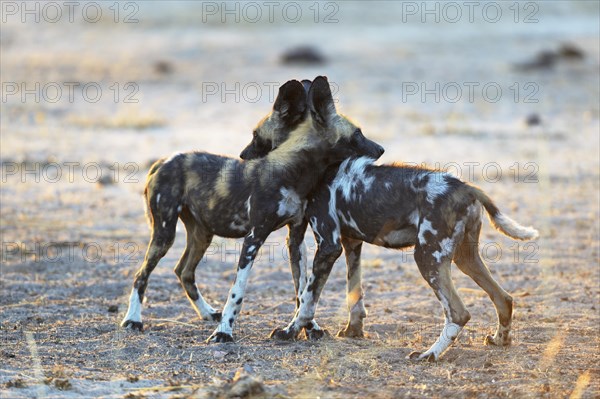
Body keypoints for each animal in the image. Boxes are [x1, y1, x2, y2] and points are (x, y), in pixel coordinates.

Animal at [120, 77, 384, 344]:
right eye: (357, 134)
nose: (381, 149)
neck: (294, 173)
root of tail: (162, 160)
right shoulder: (254, 237)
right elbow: (237, 292)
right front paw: (224, 332)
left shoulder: (295, 239)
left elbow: (303, 291)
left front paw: (307, 328)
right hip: (165, 234)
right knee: (141, 275)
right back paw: (133, 320)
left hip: (202, 234)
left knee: (183, 271)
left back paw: (207, 313)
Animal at [241, 86, 540, 360]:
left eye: (256, 137)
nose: (242, 157)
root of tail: (467, 187)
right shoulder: (351, 243)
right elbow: (354, 295)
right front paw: (353, 331)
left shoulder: (329, 245)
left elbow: (307, 301)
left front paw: (289, 332)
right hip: (463, 257)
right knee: (503, 298)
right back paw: (500, 340)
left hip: (428, 257)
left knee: (459, 312)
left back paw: (429, 355)